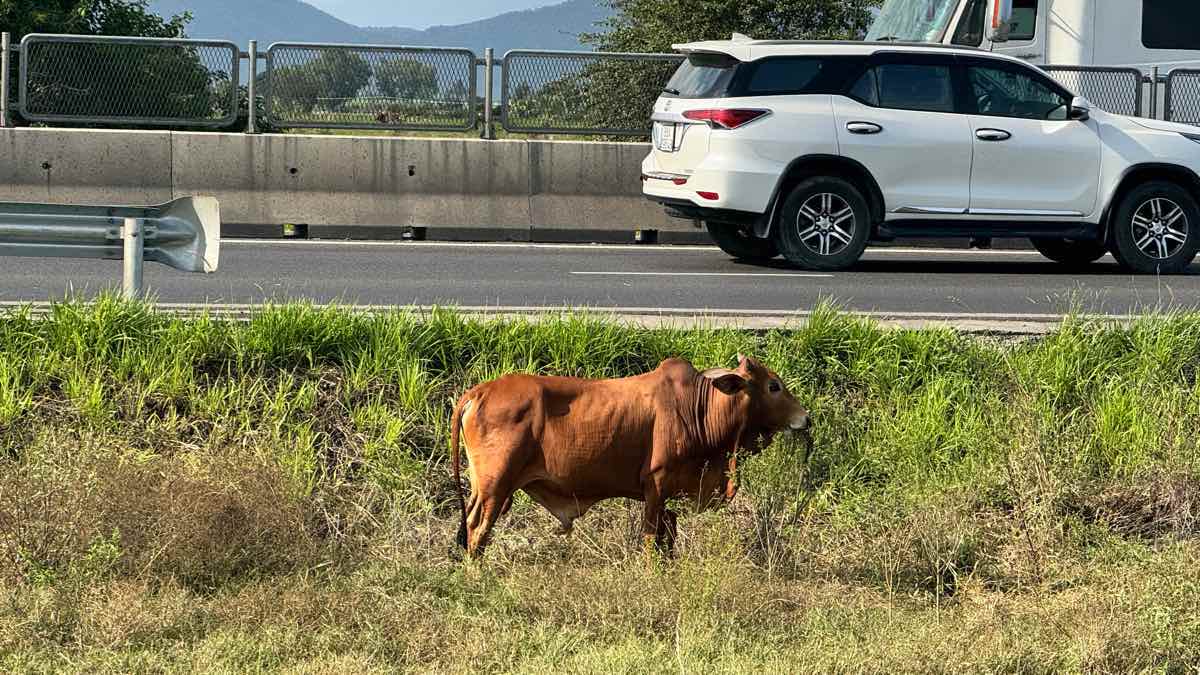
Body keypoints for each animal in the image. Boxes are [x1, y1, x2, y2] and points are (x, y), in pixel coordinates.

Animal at [451, 355, 816, 554]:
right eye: (773, 386)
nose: (806, 418)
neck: (698, 407)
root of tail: (479, 391)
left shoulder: (669, 496)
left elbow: (669, 539)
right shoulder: (656, 485)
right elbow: (651, 541)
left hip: (484, 488)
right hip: (496, 485)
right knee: (477, 529)